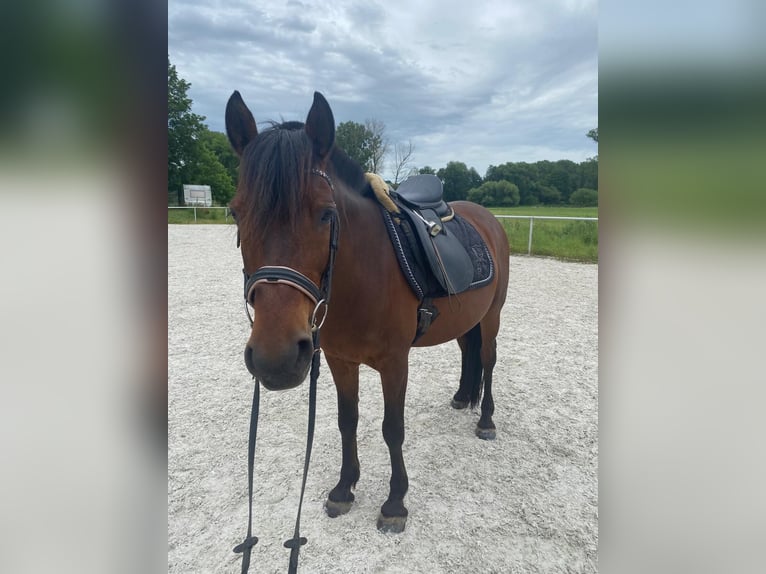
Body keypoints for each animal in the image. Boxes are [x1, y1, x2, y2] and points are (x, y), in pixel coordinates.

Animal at [226, 90, 510, 536]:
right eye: (235, 213)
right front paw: (344, 489)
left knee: (488, 358)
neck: (363, 274)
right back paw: (464, 397)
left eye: (326, 213)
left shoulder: (395, 363)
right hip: (468, 316)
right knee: (469, 352)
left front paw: (395, 503)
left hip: (493, 315)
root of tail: (486, 218)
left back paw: (486, 421)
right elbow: (349, 420)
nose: (276, 359)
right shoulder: (340, 360)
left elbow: (392, 429)